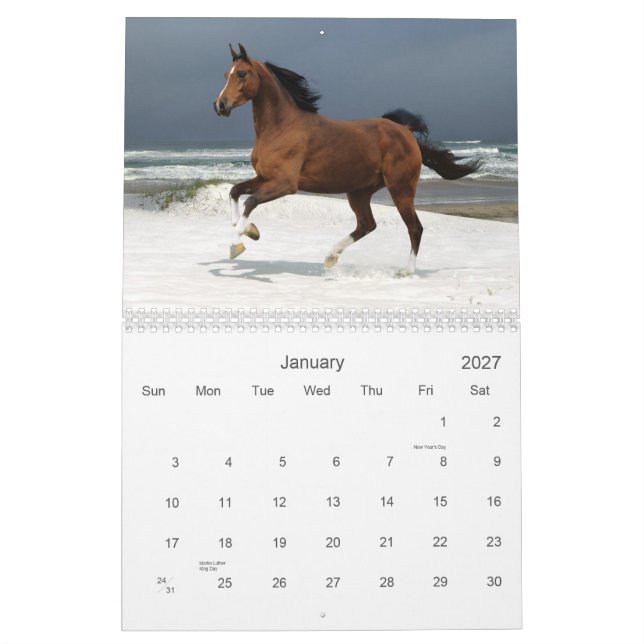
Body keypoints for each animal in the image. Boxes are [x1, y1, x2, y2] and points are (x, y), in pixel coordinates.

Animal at [214, 43, 480, 276]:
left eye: (241, 73)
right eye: (226, 74)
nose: (220, 105)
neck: (281, 127)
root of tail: (405, 131)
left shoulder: (286, 184)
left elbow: (251, 202)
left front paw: (236, 244)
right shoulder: (264, 177)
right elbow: (236, 191)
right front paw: (248, 230)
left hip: (401, 190)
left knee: (415, 228)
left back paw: (407, 272)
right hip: (359, 192)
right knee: (367, 225)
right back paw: (331, 256)